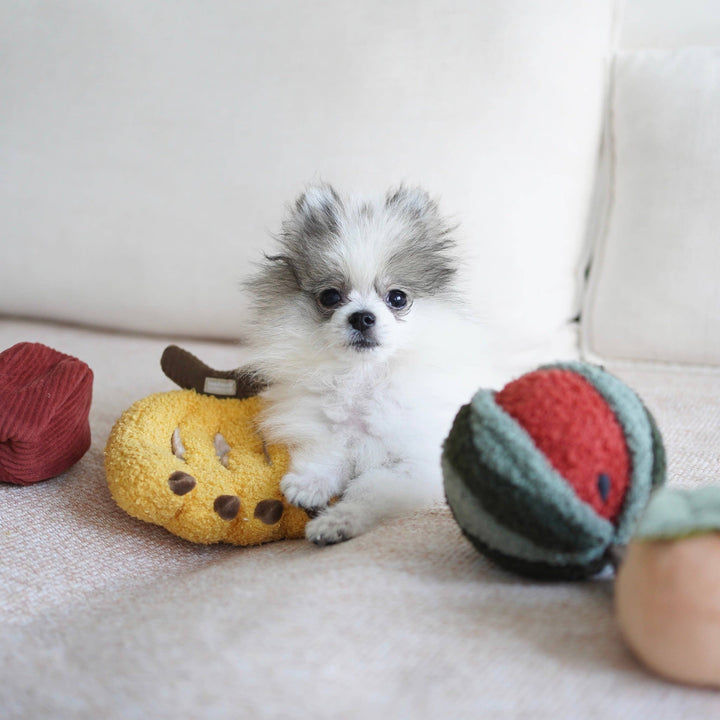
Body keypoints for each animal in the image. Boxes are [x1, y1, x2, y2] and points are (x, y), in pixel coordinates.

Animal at [239, 186, 504, 544]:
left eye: (397, 298)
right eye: (330, 296)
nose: (362, 317)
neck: (363, 378)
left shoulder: (409, 464)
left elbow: (368, 490)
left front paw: (337, 521)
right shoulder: (330, 434)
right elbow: (326, 454)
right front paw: (309, 484)